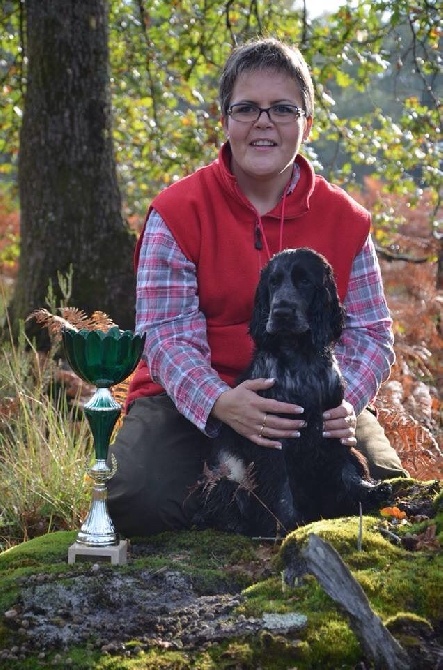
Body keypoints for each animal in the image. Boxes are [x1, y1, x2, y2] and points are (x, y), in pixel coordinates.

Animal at [193, 249, 390, 540]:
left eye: (305, 281)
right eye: (273, 283)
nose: (281, 312)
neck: (299, 357)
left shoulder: (331, 423)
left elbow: (344, 470)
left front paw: (367, 492)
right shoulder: (271, 435)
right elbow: (280, 487)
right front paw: (285, 526)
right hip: (225, 479)